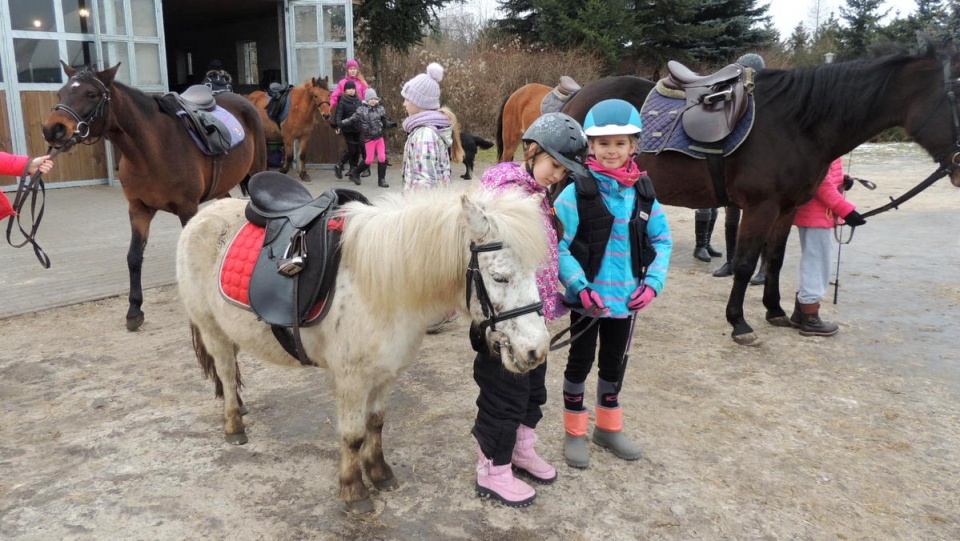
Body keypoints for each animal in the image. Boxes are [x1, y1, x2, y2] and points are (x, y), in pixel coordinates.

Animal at [42, 59, 266, 330]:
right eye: (61, 93)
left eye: (91, 94)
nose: (53, 129)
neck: (152, 148)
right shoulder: (138, 209)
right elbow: (134, 257)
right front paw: (134, 310)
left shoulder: (187, 208)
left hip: (257, 173)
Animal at [172, 185, 548, 510]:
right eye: (499, 277)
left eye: (536, 271)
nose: (537, 351)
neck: (381, 286)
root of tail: (202, 216)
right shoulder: (351, 379)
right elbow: (353, 435)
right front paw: (354, 489)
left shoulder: (386, 373)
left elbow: (376, 423)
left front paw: (379, 473)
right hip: (211, 329)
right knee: (225, 371)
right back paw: (234, 425)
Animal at [556, 42, 960, 346]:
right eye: (957, 96)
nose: (958, 168)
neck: (797, 123)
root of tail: (577, 96)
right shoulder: (759, 207)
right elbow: (747, 262)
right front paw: (739, 323)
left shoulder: (786, 208)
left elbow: (775, 259)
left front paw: (776, 311)